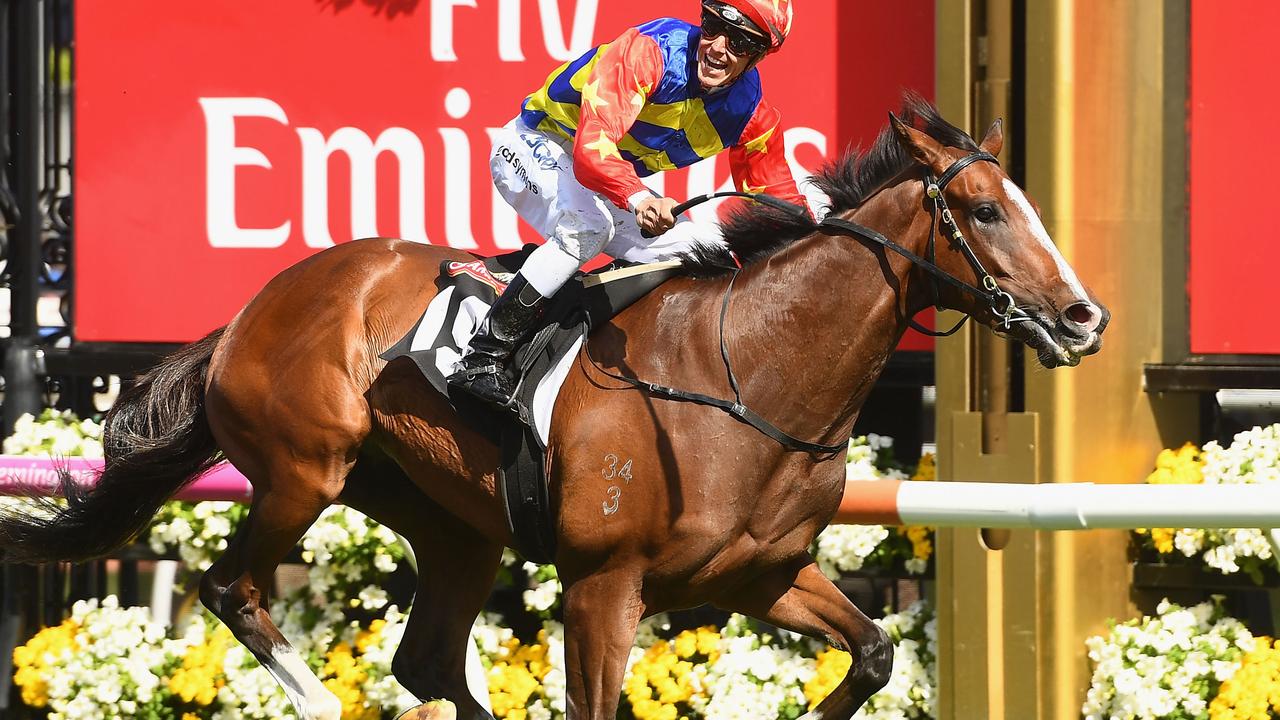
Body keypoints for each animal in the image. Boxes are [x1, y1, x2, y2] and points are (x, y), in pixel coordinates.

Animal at [0, 96, 1105, 717]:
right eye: (984, 211)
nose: (1083, 317)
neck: (749, 376)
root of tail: (246, 312)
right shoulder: (602, 585)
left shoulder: (760, 574)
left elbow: (874, 653)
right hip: (300, 471)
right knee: (235, 590)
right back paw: (316, 702)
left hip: (450, 523)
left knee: (427, 661)